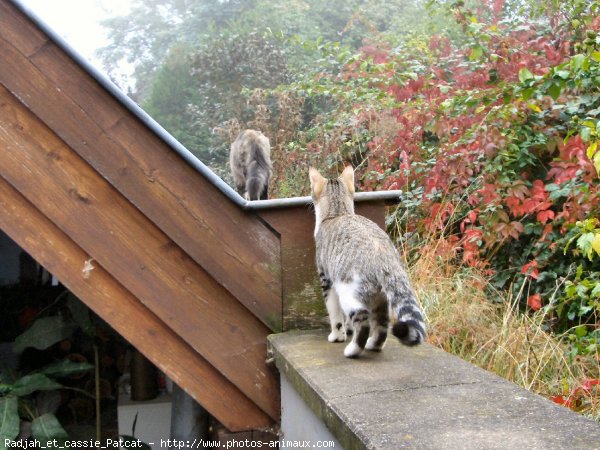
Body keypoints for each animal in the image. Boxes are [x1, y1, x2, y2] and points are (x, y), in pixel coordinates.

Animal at [310, 165, 426, 358]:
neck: (337, 212)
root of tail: (382, 254)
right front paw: (347, 330)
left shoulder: (327, 280)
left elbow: (335, 315)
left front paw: (338, 336)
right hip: (381, 299)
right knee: (382, 325)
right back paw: (373, 345)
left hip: (349, 292)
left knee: (363, 323)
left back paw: (353, 350)